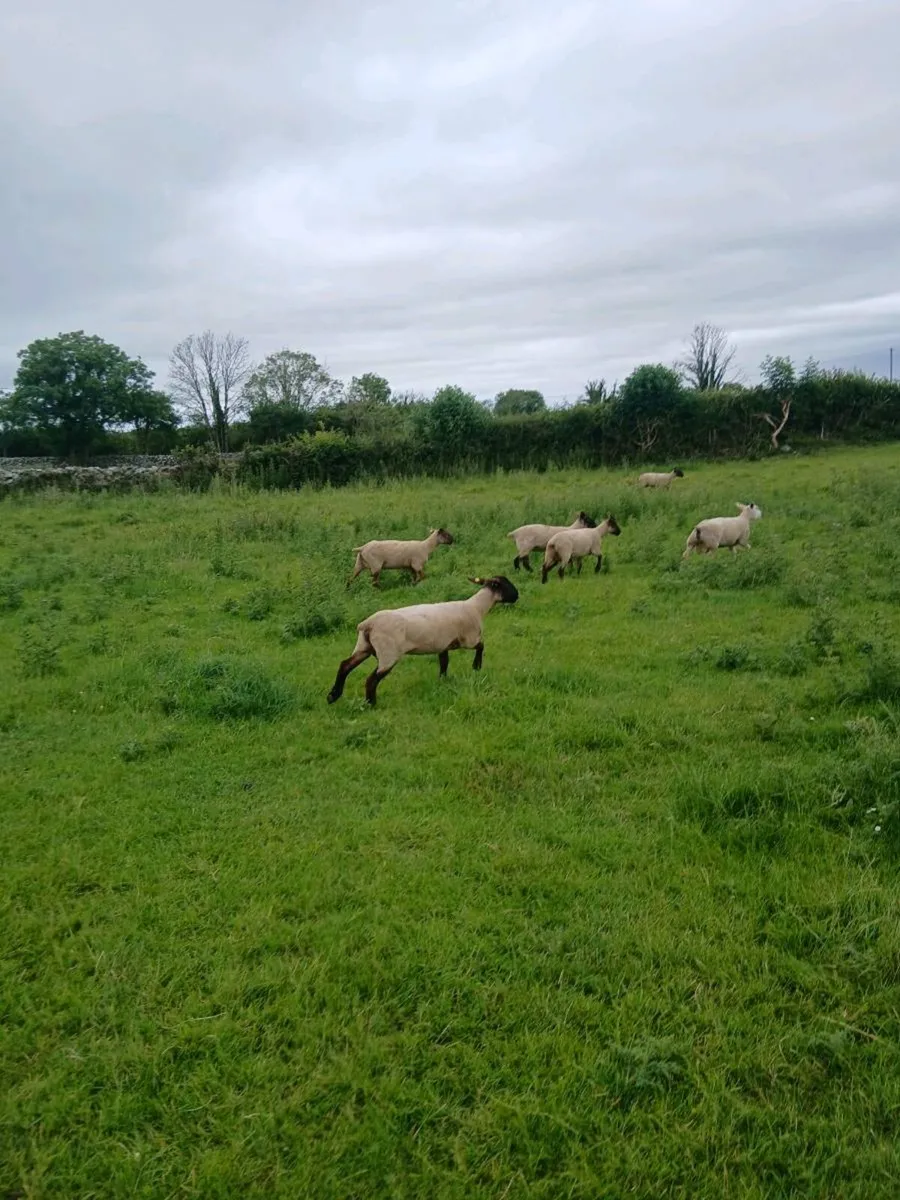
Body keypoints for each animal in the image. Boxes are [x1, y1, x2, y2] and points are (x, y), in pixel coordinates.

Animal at [327, 575, 520, 706]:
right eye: (506, 584)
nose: (517, 596)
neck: (477, 607)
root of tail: (367, 625)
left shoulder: (443, 644)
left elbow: (444, 662)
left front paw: (443, 680)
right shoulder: (469, 639)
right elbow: (481, 646)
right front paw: (476, 666)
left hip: (363, 647)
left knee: (344, 666)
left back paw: (333, 696)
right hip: (388, 653)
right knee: (371, 679)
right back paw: (370, 704)